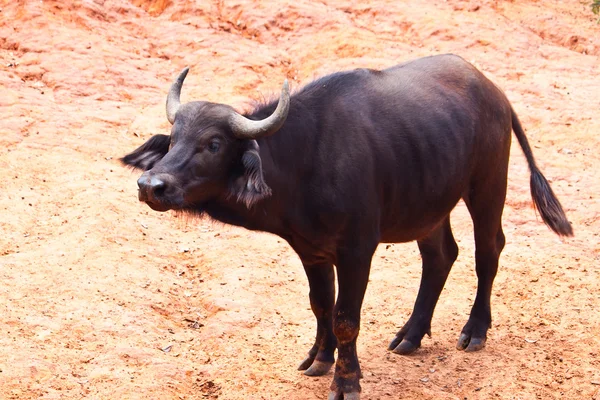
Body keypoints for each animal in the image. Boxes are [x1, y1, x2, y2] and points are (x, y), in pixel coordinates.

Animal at [120, 54, 572, 400]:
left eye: (213, 143)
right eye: (173, 138)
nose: (151, 186)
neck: (306, 161)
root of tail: (495, 94)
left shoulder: (358, 250)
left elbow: (345, 317)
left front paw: (347, 379)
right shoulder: (310, 249)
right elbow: (321, 304)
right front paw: (320, 358)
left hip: (488, 185)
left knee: (488, 251)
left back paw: (474, 330)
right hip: (428, 204)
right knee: (441, 256)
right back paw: (411, 334)